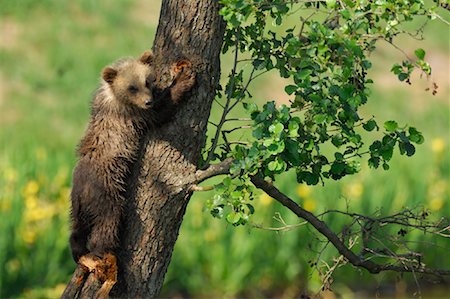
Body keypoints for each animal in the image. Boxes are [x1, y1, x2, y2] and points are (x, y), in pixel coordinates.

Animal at [70, 52, 195, 264]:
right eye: (132, 87)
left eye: (147, 80)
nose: (148, 101)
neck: (113, 98)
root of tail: (81, 191)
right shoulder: (132, 115)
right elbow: (162, 111)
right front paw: (184, 79)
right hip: (107, 189)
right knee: (108, 219)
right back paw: (102, 249)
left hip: (77, 206)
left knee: (77, 229)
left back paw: (78, 251)